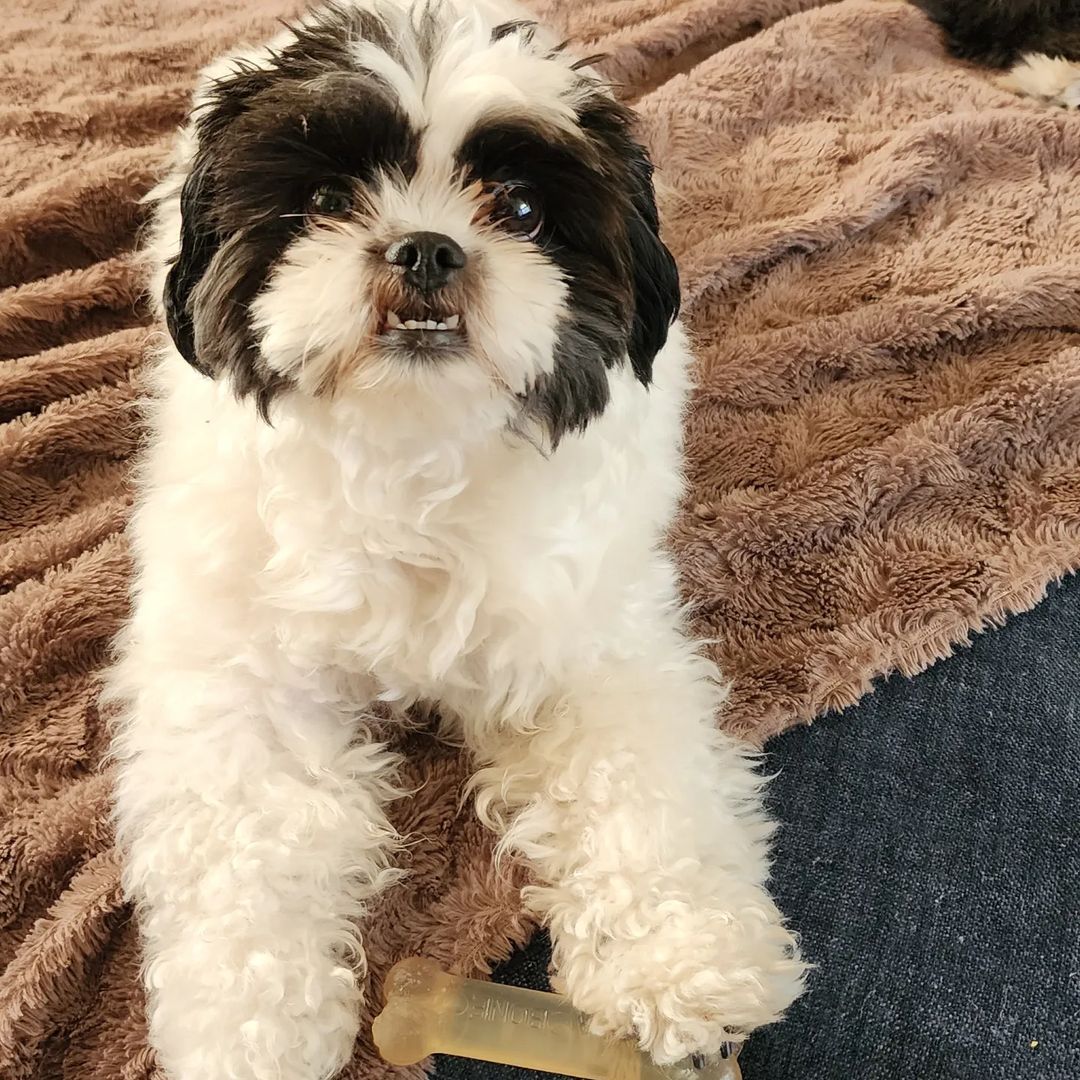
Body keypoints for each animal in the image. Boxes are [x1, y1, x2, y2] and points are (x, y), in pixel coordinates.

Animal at [105, 2, 807, 1080]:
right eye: (325, 200)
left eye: (518, 210)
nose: (427, 248)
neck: (412, 448)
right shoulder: (236, 678)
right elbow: (248, 847)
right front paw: (249, 1029)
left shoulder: (588, 636)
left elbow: (640, 784)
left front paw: (677, 957)